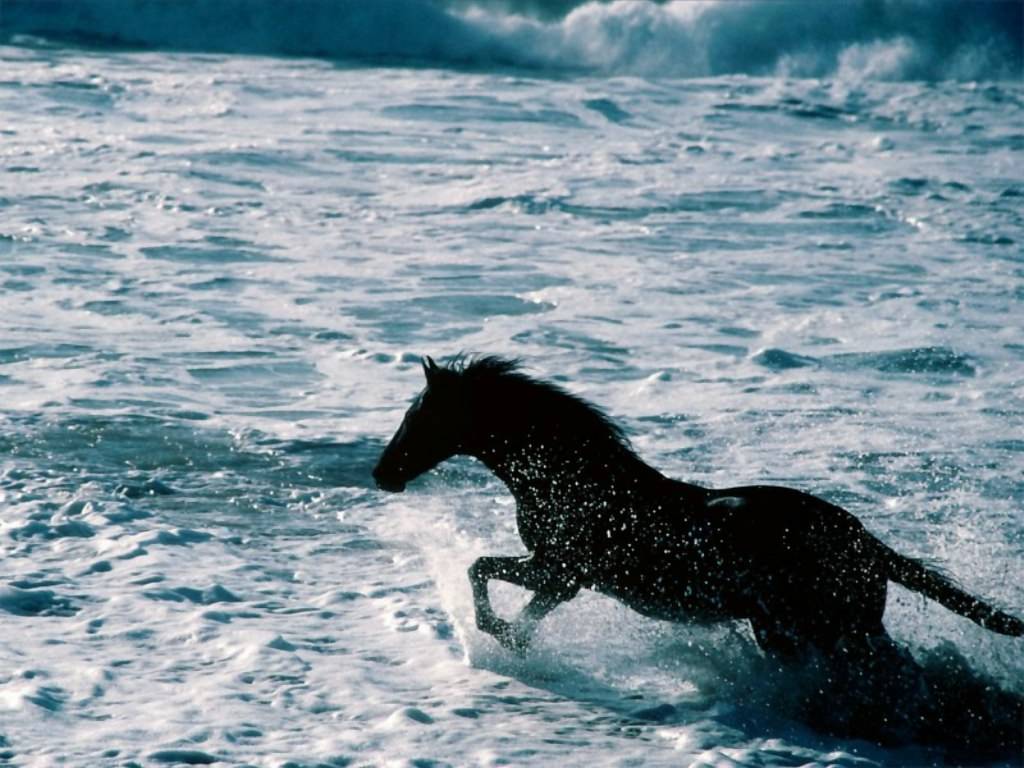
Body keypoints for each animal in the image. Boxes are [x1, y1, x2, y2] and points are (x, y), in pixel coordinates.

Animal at [372, 355, 1024, 661]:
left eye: (420, 417)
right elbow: (498, 582)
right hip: (817, 630)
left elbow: (480, 569)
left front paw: (499, 635)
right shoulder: (564, 579)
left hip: (821, 629)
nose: (382, 474)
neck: (568, 479)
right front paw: (514, 639)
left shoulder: (562, 571)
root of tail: (867, 542)